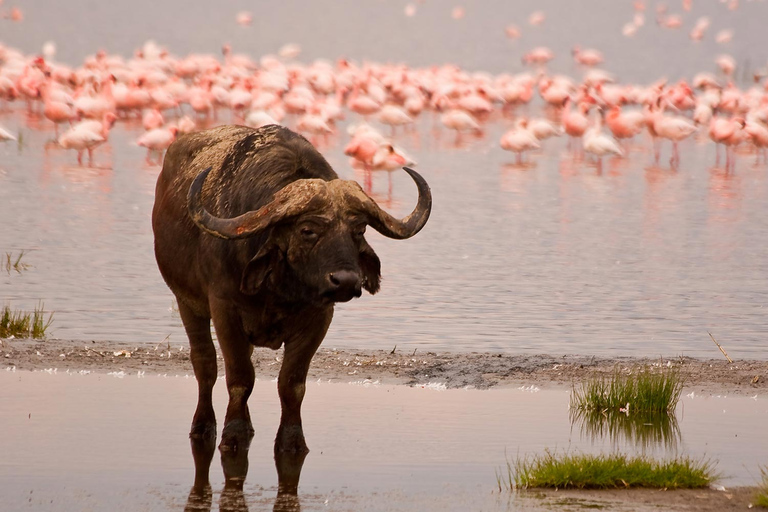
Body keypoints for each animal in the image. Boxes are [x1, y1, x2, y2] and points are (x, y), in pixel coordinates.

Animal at [150, 126, 426, 454]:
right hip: (186, 302)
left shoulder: (319, 318)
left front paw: (292, 440)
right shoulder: (224, 308)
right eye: (307, 230)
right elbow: (240, 377)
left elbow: (292, 384)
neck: (278, 291)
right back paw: (203, 427)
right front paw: (233, 435)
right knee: (204, 363)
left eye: (359, 231)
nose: (346, 280)